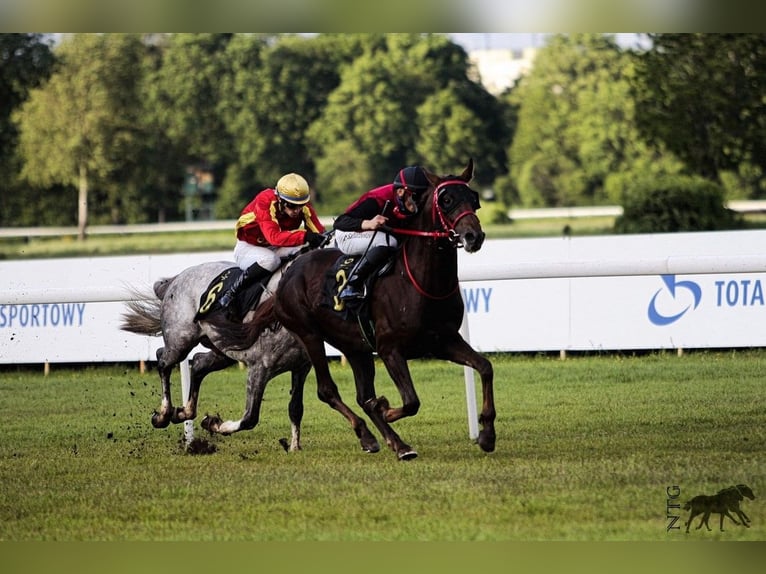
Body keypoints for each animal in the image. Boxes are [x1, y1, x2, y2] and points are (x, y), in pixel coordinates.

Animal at [120, 260, 312, 450]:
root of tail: (176, 279)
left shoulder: (301, 367)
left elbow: (296, 408)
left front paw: (294, 447)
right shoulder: (260, 366)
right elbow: (250, 418)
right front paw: (215, 424)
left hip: (222, 350)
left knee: (198, 363)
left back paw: (183, 412)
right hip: (180, 342)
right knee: (163, 360)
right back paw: (162, 415)